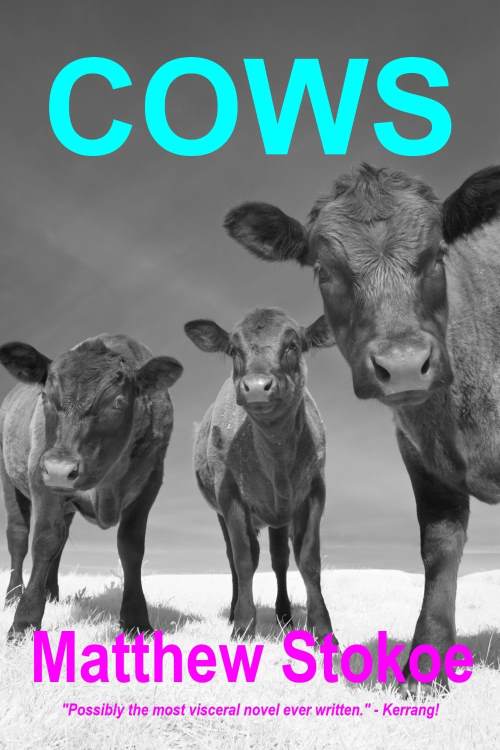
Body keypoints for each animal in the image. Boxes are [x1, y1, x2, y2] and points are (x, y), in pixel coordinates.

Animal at [0, 333, 182, 639]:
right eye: (45, 396)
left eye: (118, 402)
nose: (60, 469)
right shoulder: (40, 471)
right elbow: (44, 540)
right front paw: (24, 621)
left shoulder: (150, 481)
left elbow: (131, 547)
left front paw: (136, 619)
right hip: (9, 478)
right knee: (19, 537)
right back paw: (13, 595)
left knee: (61, 540)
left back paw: (51, 593)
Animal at [184, 307, 335, 642]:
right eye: (233, 349)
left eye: (293, 345)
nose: (255, 385)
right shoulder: (230, 497)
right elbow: (244, 561)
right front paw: (243, 625)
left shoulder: (314, 492)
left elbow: (309, 560)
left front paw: (323, 631)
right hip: (223, 513)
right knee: (233, 560)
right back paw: (234, 611)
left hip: (280, 516)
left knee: (280, 560)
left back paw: (285, 616)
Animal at [224, 164, 500, 690]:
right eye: (324, 270)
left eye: (437, 256)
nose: (405, 364)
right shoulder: (422, 460)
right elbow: (439, 549)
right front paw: (424, 669)